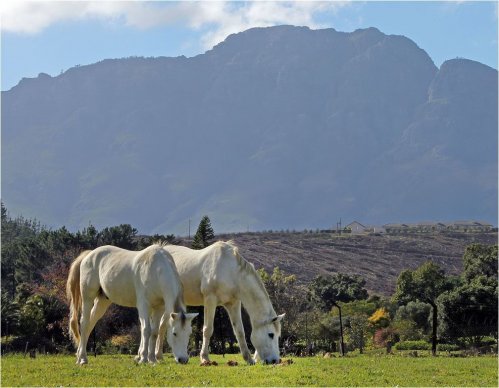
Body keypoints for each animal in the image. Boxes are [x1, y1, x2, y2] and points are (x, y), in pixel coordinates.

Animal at [66, 244, 197, 366]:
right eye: (174, 333)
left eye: (189, 333)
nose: (183, 359)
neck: (157, 270)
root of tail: (89, 255)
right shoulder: (144, 305)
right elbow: (146, 329)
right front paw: (143, 358)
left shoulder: (159, 308)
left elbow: (154, 332)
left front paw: (152, 359)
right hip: (88, 297)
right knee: (84, 323)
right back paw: (83, 359)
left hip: (102, 301)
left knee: (90, 323)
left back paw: (79, 356)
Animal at [158, 241, 288, 366]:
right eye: (271, 334)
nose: (274, 360)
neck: (229, 270)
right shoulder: (210, 300)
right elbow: (208, 330)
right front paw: (204, 358)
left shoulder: (233, 304)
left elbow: (240, 331)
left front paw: (249, 359)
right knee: (162, 325)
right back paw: (158, 356)